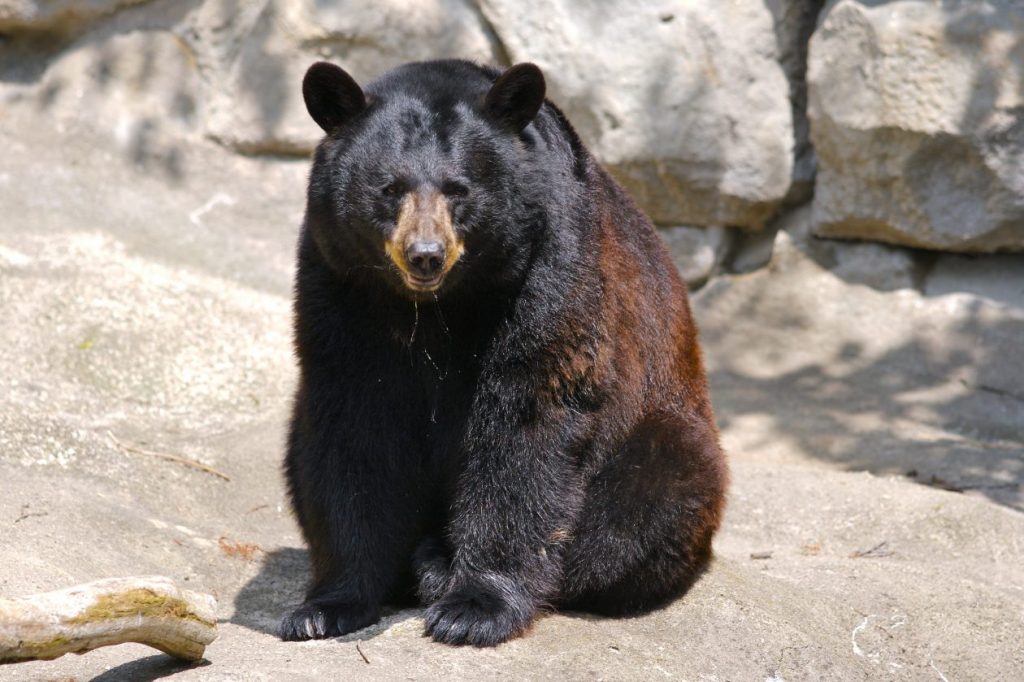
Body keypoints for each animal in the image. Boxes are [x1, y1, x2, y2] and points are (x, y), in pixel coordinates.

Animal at [280, 58, 729, 643]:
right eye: (389, 188)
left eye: (459, 189)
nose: (425, 255)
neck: (436, 307)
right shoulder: (338, 282)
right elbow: (352, 427)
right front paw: (325, 606)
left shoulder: (550, 271)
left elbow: (524, 424)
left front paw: (474, 607)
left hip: (661, 430)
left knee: (642, 503)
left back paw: (439, 563)